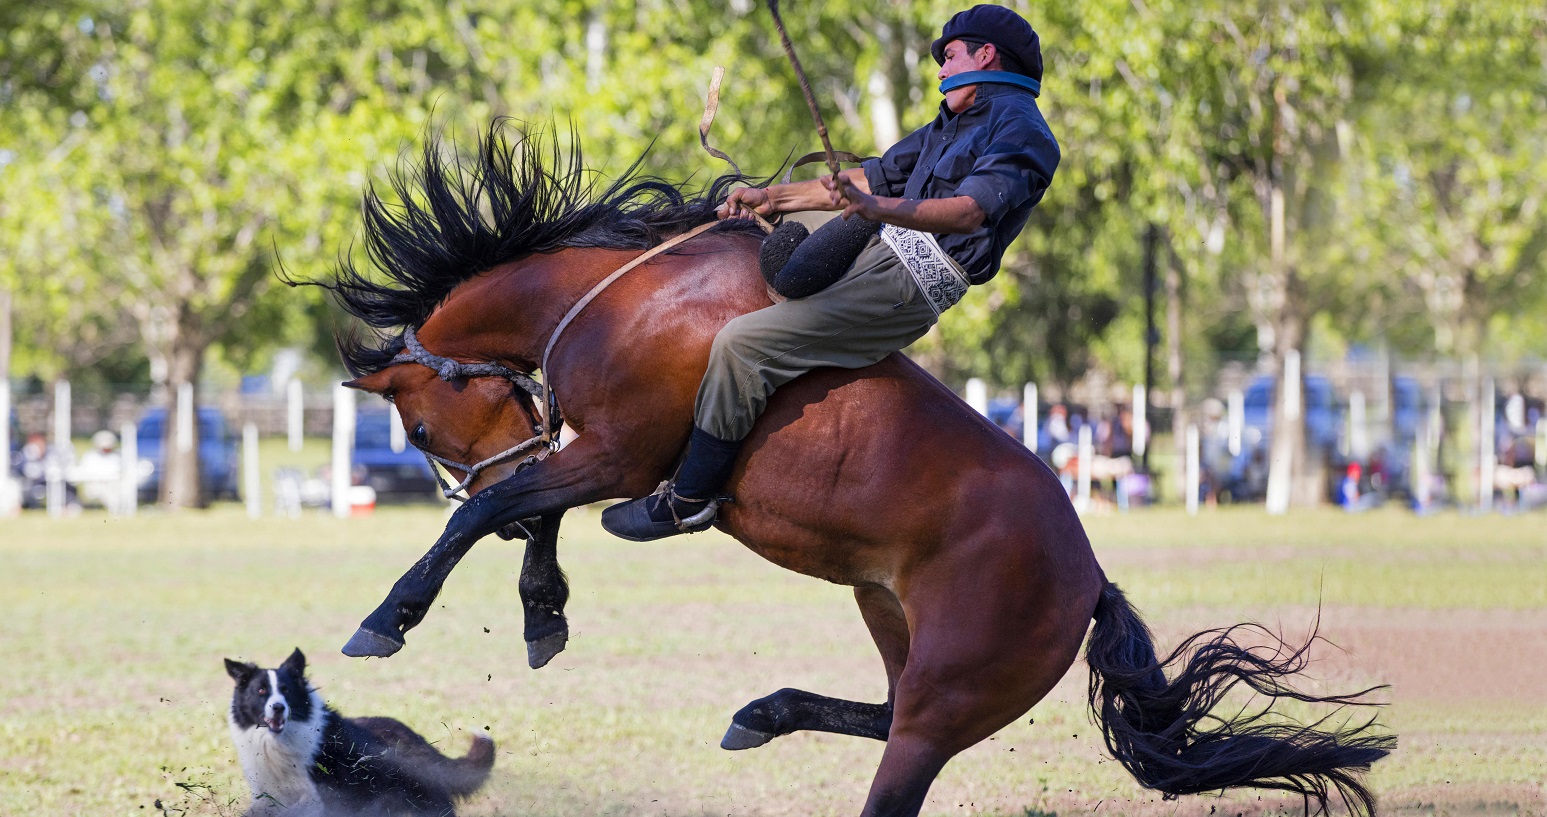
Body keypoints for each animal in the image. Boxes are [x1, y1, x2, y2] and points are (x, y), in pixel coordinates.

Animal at [310, 126, 1392, 817]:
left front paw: (388, 617)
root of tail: (1087, 579)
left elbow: (494, 510)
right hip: (887, 616)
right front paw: (543, 615)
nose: (436, 466)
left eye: (415, 423)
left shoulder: (614, 454)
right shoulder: (596, 454)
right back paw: (763, 711)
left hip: (947, 698)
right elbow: (525, 516)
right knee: (877, 709)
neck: (632, 296)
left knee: (896, 751)